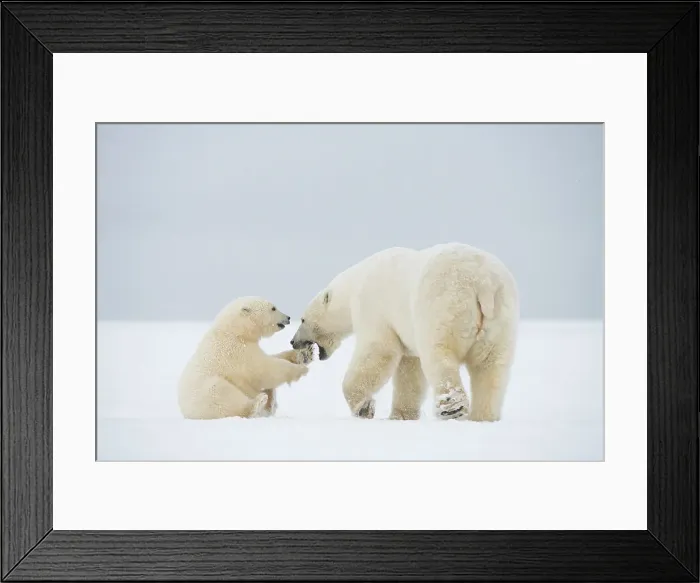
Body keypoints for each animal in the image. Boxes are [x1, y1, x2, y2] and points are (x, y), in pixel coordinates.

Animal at [178, 296, 313, 420]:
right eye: (273, 308)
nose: (288, 317)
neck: (233, 331)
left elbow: (271, 358)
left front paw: (304, 354)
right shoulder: (235, 351)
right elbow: (263, 369)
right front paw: (301, 370)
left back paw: (269, 398)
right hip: (208, 392)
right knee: (225, 396)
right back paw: (260, 401)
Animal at [290, 243, 519, 422]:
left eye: (303, 319)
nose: (293, 341)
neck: (357, 281)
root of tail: (483, 282)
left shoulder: (374, 307)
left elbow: (378, 351)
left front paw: (364, 407)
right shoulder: (404, 330)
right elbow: (409, 369)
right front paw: (401, 415)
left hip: (445, 305)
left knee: (439, 354)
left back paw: (452, 408)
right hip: (501, 316)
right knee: (491, 367)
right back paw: (483, 416)